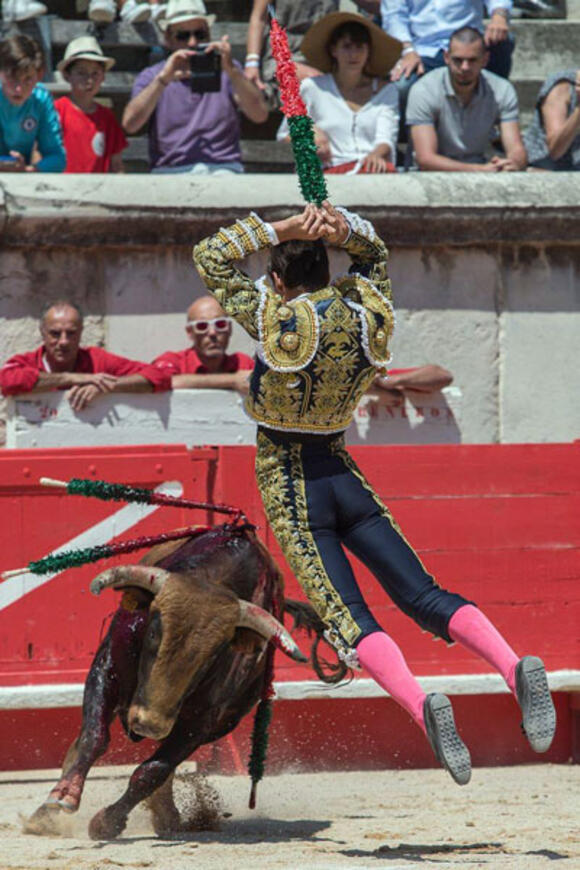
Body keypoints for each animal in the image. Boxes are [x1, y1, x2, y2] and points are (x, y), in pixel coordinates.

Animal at [26, 520, 340, 840]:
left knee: (165, 767)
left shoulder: (201, 721)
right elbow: (94, 737)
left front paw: (107, 822)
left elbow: (153, 770)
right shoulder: (106, 669)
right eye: (153, 632)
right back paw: (46, 815)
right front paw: (62, 797)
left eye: (213, 656)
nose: (149, 724)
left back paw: (166, 816)